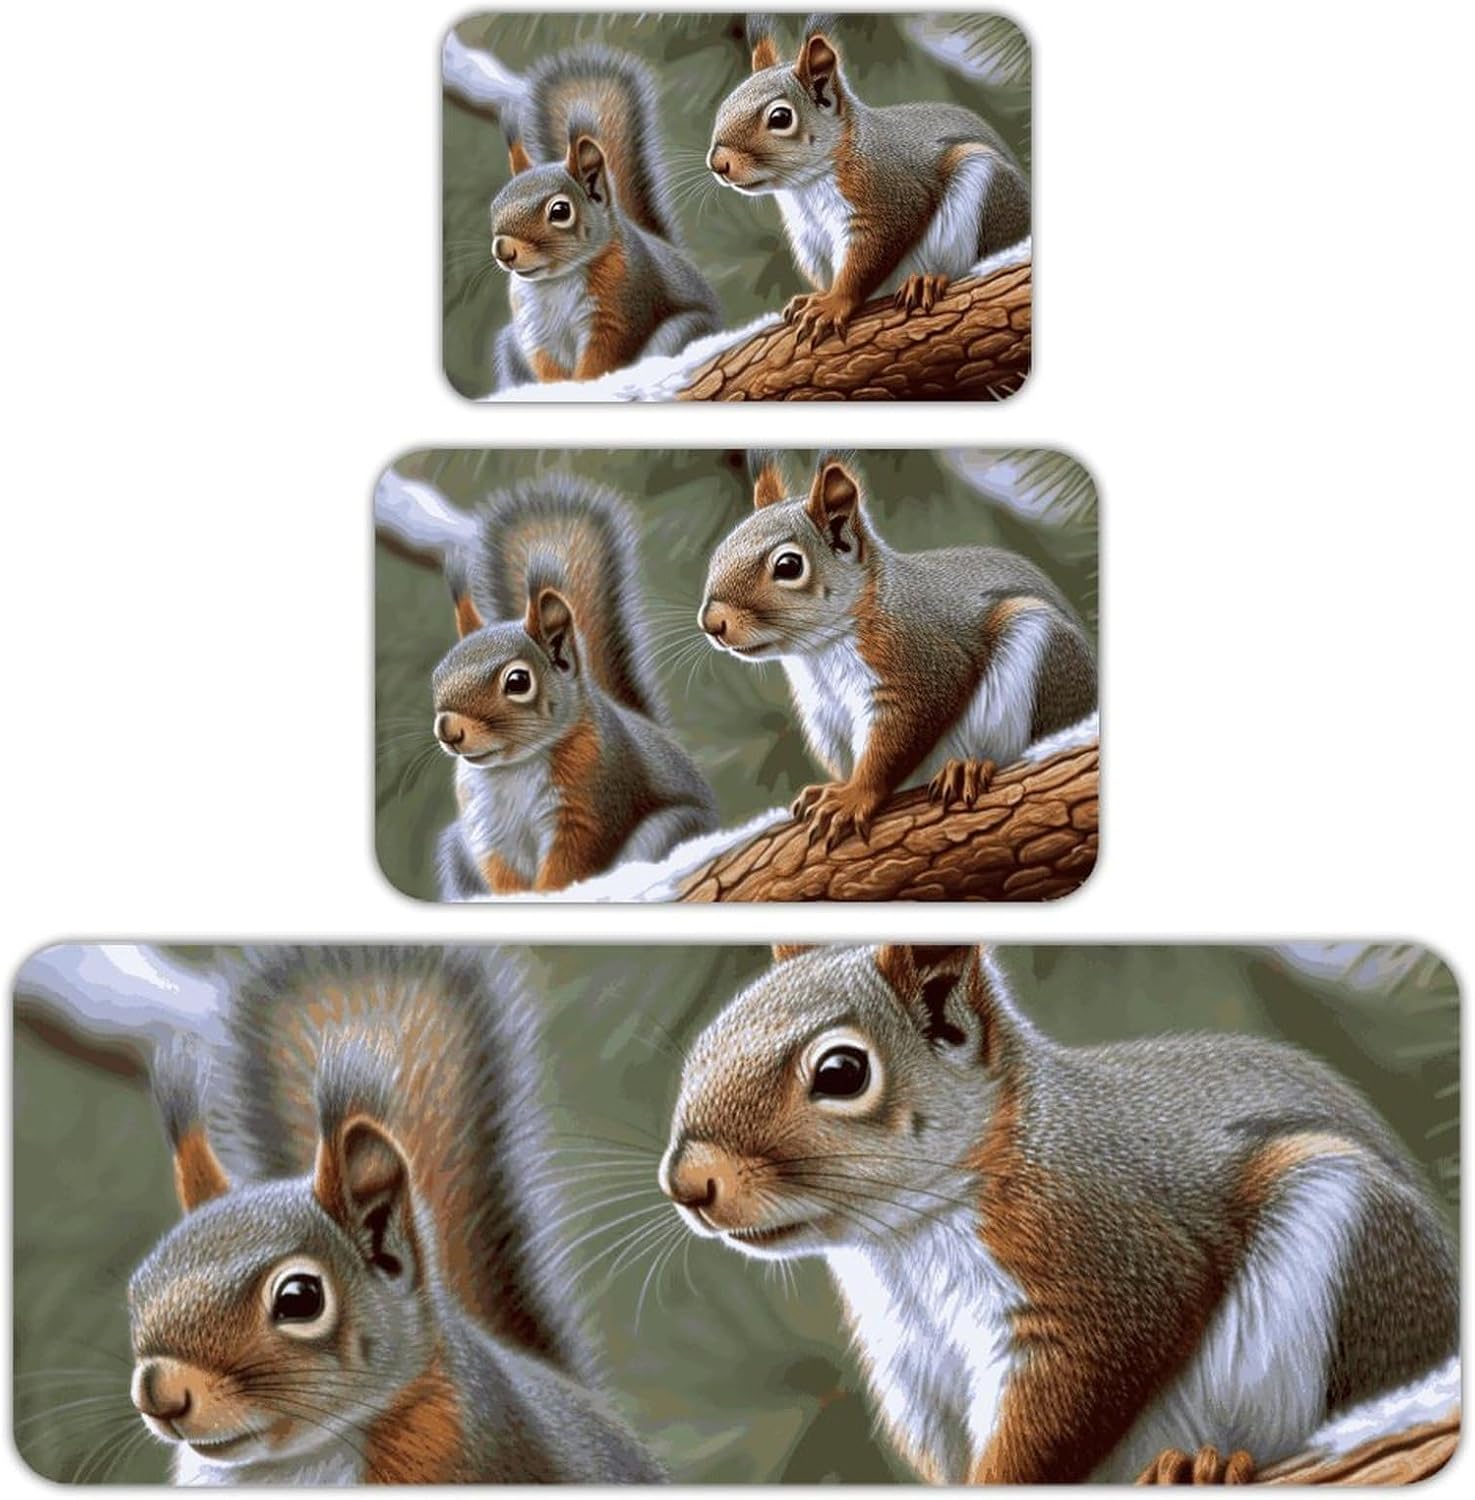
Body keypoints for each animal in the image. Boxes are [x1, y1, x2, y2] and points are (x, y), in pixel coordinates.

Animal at [432, 473, 718, 897]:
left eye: (517, 681)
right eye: (437, 675)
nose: (449, 731)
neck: (513, 768)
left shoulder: (587, 804)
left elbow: (568, 864)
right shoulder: (486, 828)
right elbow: (501, 873)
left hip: (667, 829)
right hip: (456, 848)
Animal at [464, 40, 723, 388]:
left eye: (560, 211)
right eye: (495, 206)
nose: (504, 250)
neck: (556, 280)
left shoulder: (617, 311)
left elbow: (601, 358)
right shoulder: (534, 328)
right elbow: (546, 365)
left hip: (680, 331)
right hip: (509, 345)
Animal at [660, 942, 1460, 1484]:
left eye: (841, 1072)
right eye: (702, 1046)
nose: (687, 1184)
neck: (906, 1238)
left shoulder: (1098, 1260)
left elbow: (1066, 1399)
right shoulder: (914, 1367)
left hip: (1359, 1241)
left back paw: (1206, 1463)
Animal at [698, 451, 1095, 849]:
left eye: (788, 565)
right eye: (718, 553)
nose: (711, 624)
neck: (820, 650)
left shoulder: (918, 667)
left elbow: (891, 746)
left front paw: (852, 796)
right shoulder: (825, 712)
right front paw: (834, 788)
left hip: (1044, 651)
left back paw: (969, 768)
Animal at [707, 18, 1030, 346]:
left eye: (780, 118)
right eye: (725, 105)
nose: (718, 164)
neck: (806, 186)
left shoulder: (885, 199)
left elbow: (864, 263)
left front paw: (833, 303)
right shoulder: (810, 236)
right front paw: (816, 296)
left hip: (987, 186)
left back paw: (927, 280)